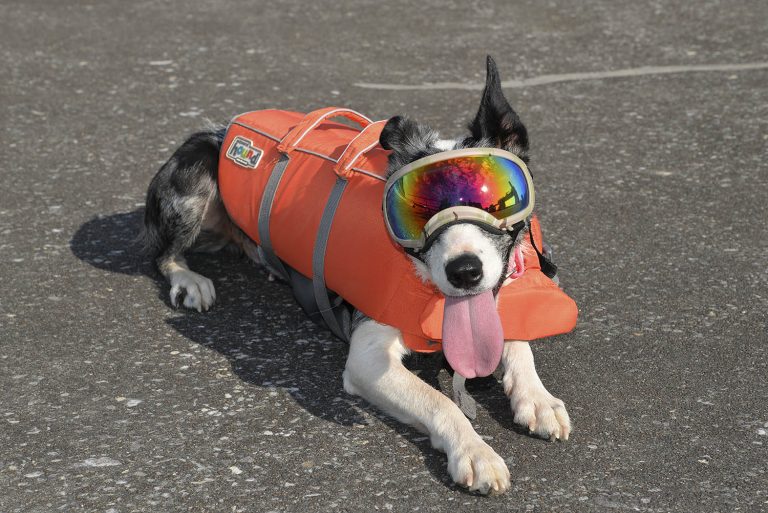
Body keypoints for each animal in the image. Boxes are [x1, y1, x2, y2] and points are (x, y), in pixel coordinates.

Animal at [140, 56, 568, 492]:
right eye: (415, 211)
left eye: (494, 198)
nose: (465, 272)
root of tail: (224, 127)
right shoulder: (368, 359)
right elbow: (441, 401)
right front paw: (475, 452)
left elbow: (517, 340)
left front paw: (537, 397)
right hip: (192, 182)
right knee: (162, 255)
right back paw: (190, 281)